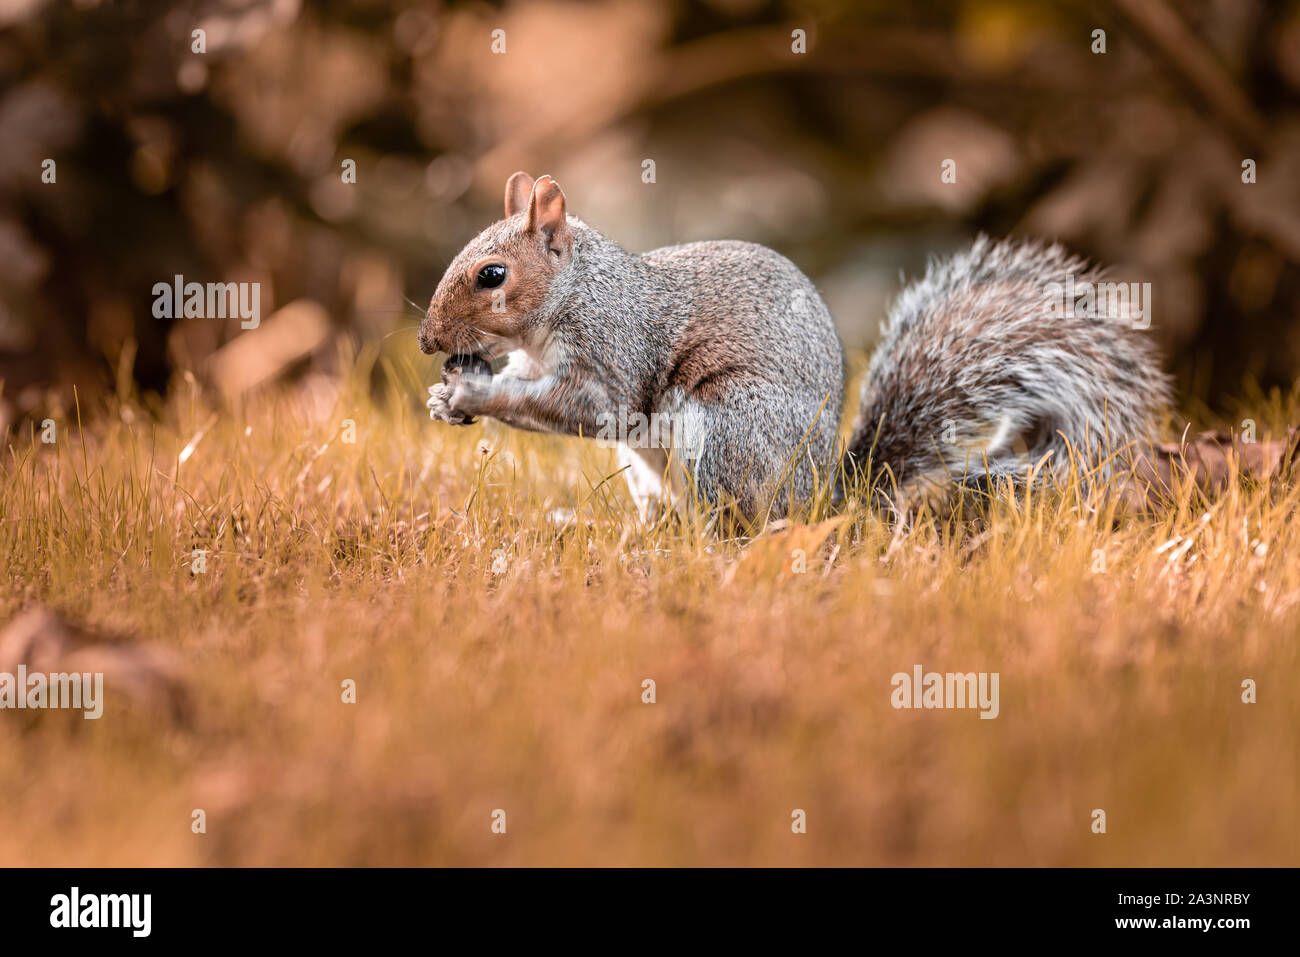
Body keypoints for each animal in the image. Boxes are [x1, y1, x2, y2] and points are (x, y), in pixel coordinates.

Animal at [421, 173, 1170, 518]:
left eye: (493, 275)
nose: (428, 341)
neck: (572, 296)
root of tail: (823, 500)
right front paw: (443, 398)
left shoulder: (612, 352)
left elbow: (577, 407)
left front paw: (474, 390)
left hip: (727, 427)